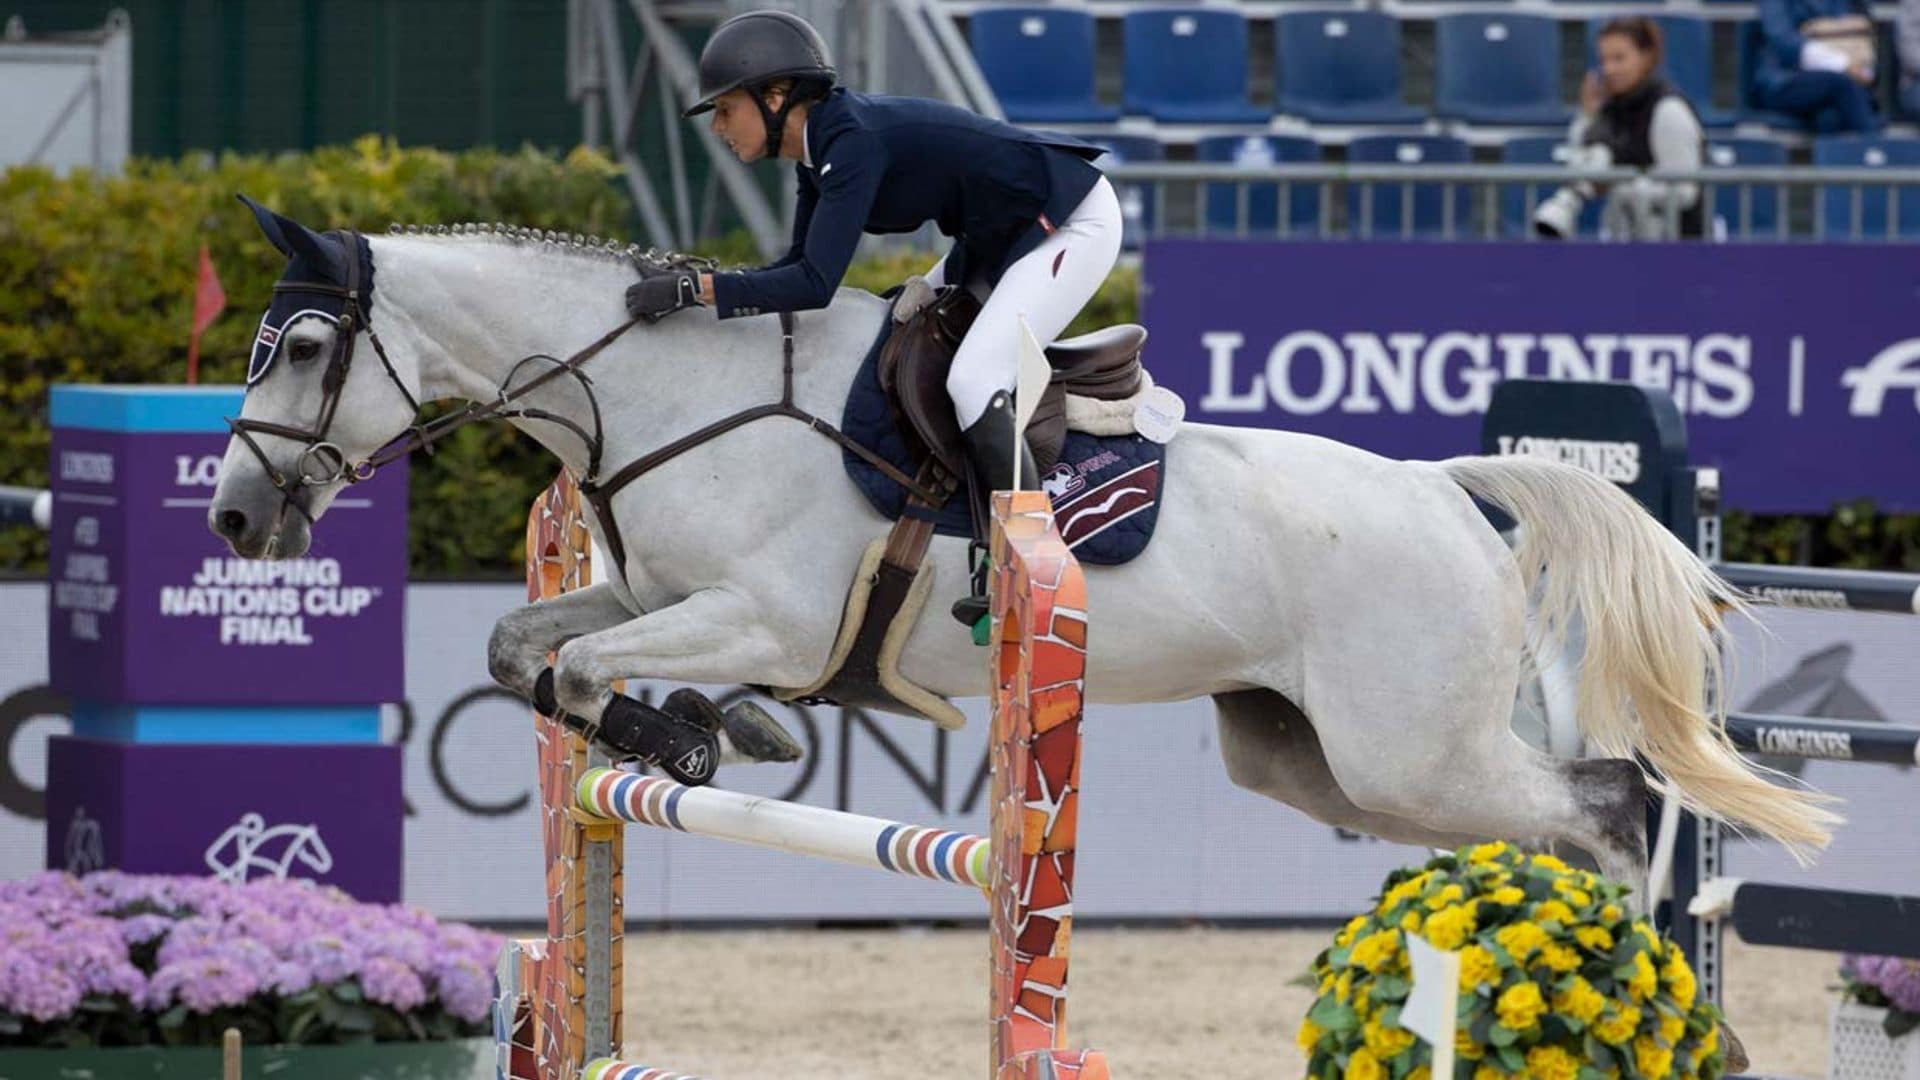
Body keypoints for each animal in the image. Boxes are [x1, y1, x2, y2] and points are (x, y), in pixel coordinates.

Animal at [202, 205, 1835, 895]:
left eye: (301, 349)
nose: (232, 517)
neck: (662, 388)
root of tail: (1441, 492)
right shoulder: (657, 592)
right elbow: (522, 649)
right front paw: (707, 733)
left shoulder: (767, 617)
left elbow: (602, 668)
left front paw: (700, 733)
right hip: (1316, 760)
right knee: (1549, 817)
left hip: (1407, 747)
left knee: (1611, 805)